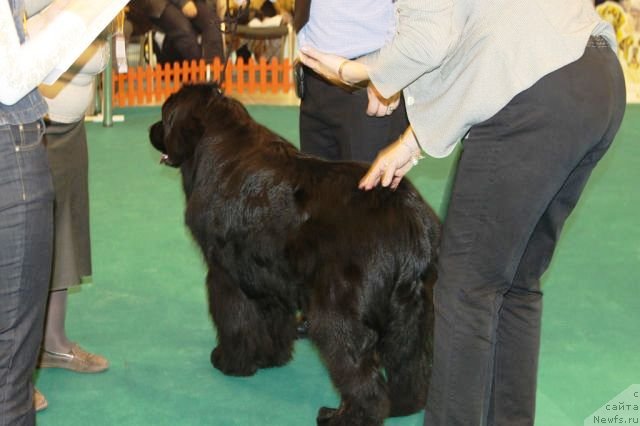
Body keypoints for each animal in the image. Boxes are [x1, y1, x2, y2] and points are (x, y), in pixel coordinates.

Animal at [150, 83, 440, 426]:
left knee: (360, 373)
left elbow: (234, 320)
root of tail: (409, 216)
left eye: (166, 114)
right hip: (410, 308)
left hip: (337, 309)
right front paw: (270, 357)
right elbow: (272, 319)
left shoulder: (225, 274)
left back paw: (345, 416)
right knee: (411, 362)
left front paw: (230, 361)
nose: (151, 130)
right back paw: (403, 404)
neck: (214, 142)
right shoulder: (268, 272)